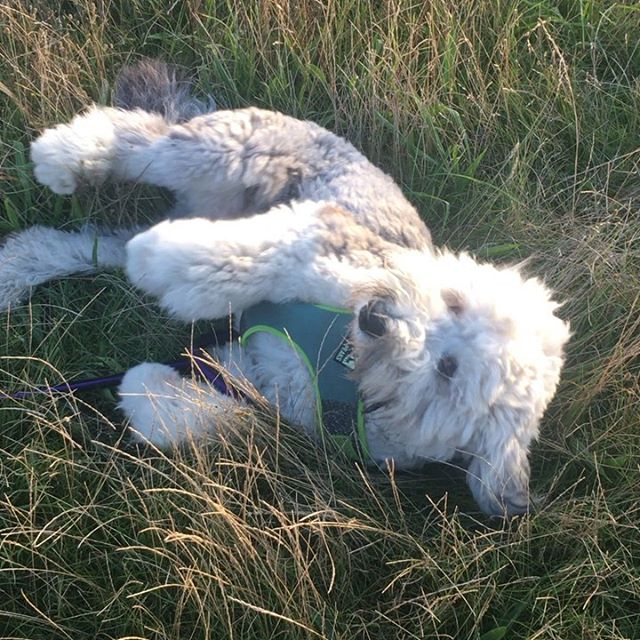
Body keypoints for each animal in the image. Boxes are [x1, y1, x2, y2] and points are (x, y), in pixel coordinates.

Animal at [0, 61, 568, 516]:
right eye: (454, 302)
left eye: (448, 370)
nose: (378, 316)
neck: (348, 367)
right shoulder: (327, 234)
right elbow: (255, 260)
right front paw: (170, 267)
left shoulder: (261, 386)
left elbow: (206, 415)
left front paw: (146, 390)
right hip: (228, 154)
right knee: (140, 137)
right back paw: (64, 158)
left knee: (81, 245)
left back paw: (14, 270)